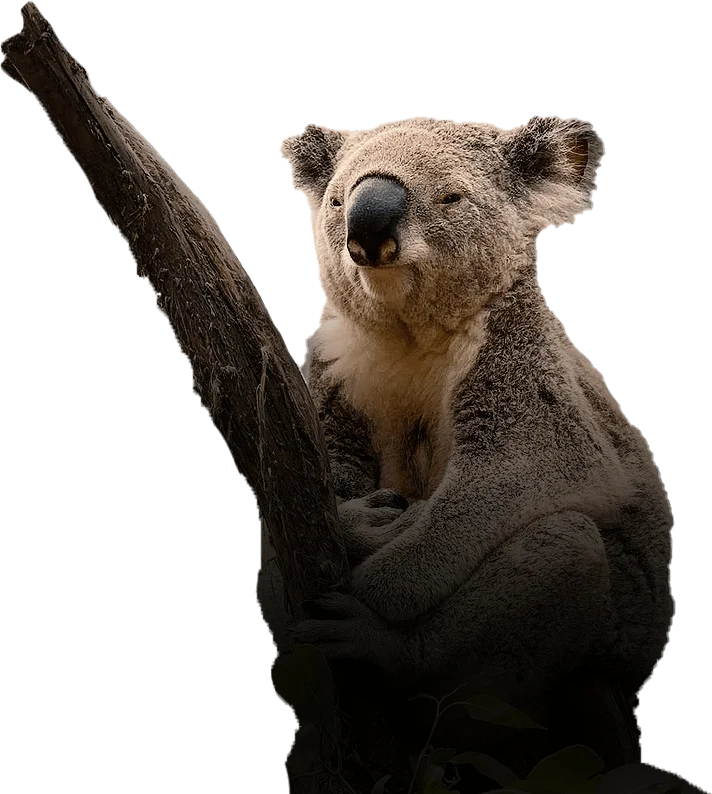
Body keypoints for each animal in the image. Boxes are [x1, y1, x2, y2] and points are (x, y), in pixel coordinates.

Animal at [257, 116, 673, 789]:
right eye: (340, 200)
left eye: (451, 197)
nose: (368, 233)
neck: (413, 336)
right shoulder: (334, 371)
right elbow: (307, 485)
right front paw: (356, 522)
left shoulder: (517, 372)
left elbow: (515, 475)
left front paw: (366, 576)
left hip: (598, 629)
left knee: (565, 547)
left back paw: (379, 646)